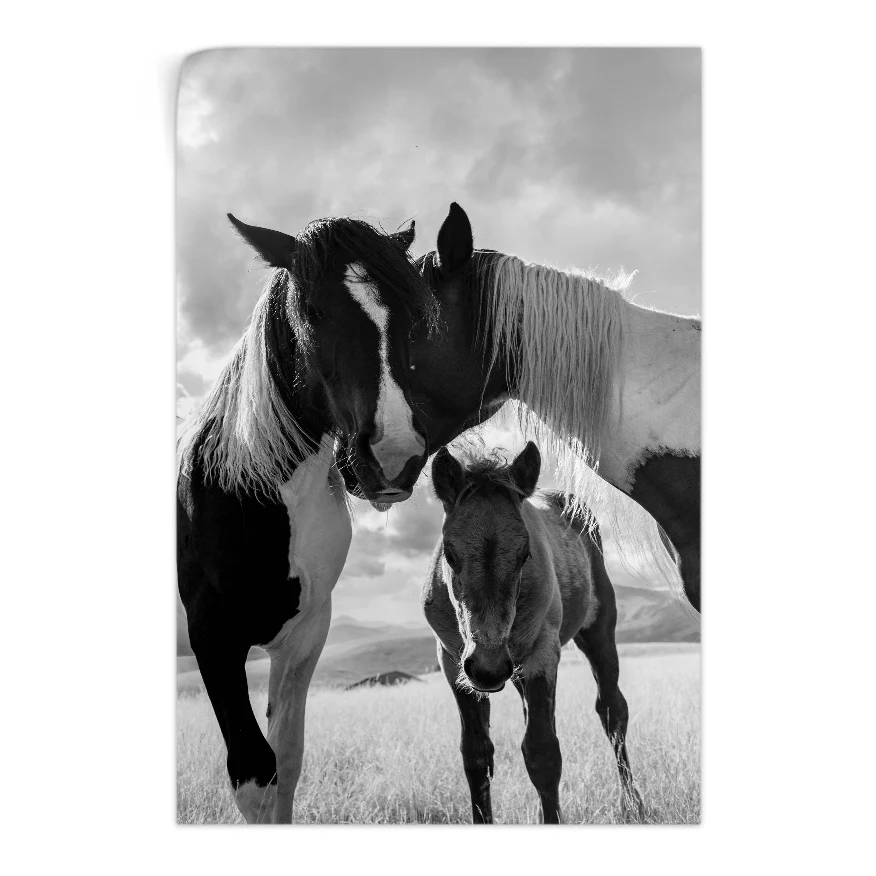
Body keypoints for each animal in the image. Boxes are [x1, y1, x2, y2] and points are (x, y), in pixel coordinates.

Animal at [177, 212, 437, 823]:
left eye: (408, 312)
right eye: (313, 311)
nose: (394, 455)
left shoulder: (305, 635)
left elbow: (287, 762)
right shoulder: (212, 639)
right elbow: (255, 773)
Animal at [422, 441, 643, 824]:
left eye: (525, 554)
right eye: (449, 554)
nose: (488, 668)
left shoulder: (542, 653)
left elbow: (543, 753)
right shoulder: (452, 662)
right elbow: (476, 756)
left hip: (597, 630)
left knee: (612, 710)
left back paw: (633, 804)